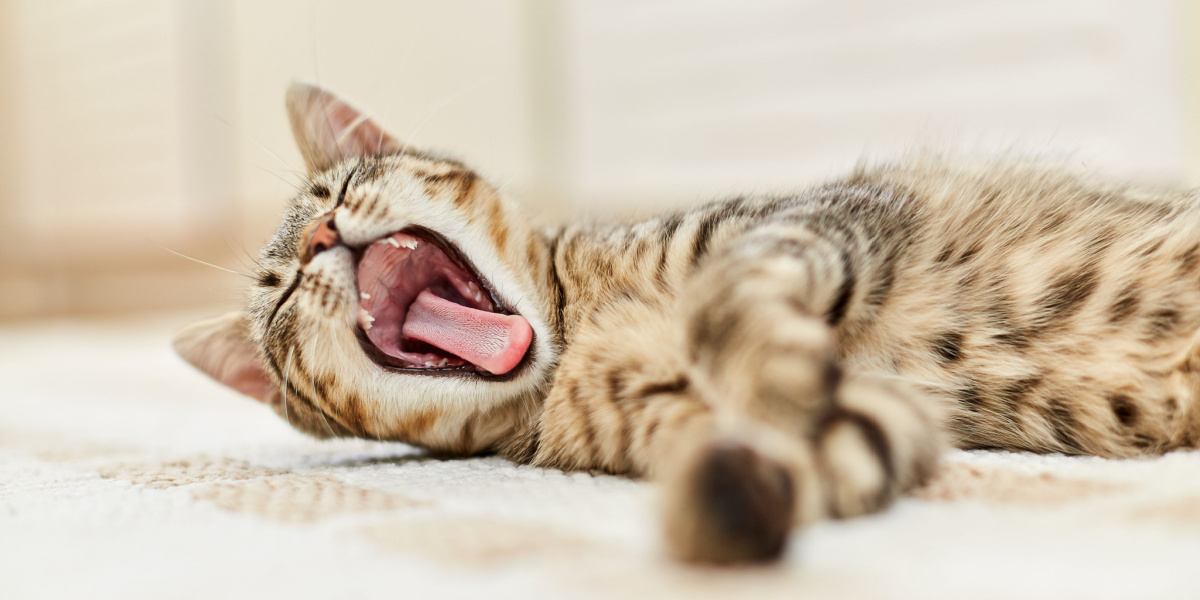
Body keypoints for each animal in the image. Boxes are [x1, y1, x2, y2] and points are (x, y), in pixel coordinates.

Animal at [175, 83, 1200, 561]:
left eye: (339, 186)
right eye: (277, 298)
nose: (318, 237)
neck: (576, 337)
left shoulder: (801, 222)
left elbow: (724, 299)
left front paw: (767, 364)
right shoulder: (876, 421)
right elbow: (801, 459)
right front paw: (735, 493)